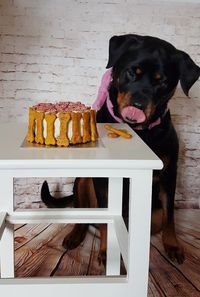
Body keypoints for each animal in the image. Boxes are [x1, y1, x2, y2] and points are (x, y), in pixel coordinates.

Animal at [41, 34, 200, 264]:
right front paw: (107, 251)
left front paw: (172, 245)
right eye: (132, 72)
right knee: (85, 215)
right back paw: (75, 235)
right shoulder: (102, 178)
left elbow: (170, 215)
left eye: (162, 81)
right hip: (83, 180)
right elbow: (106, 216)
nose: (138, 105)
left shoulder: (169, 174)